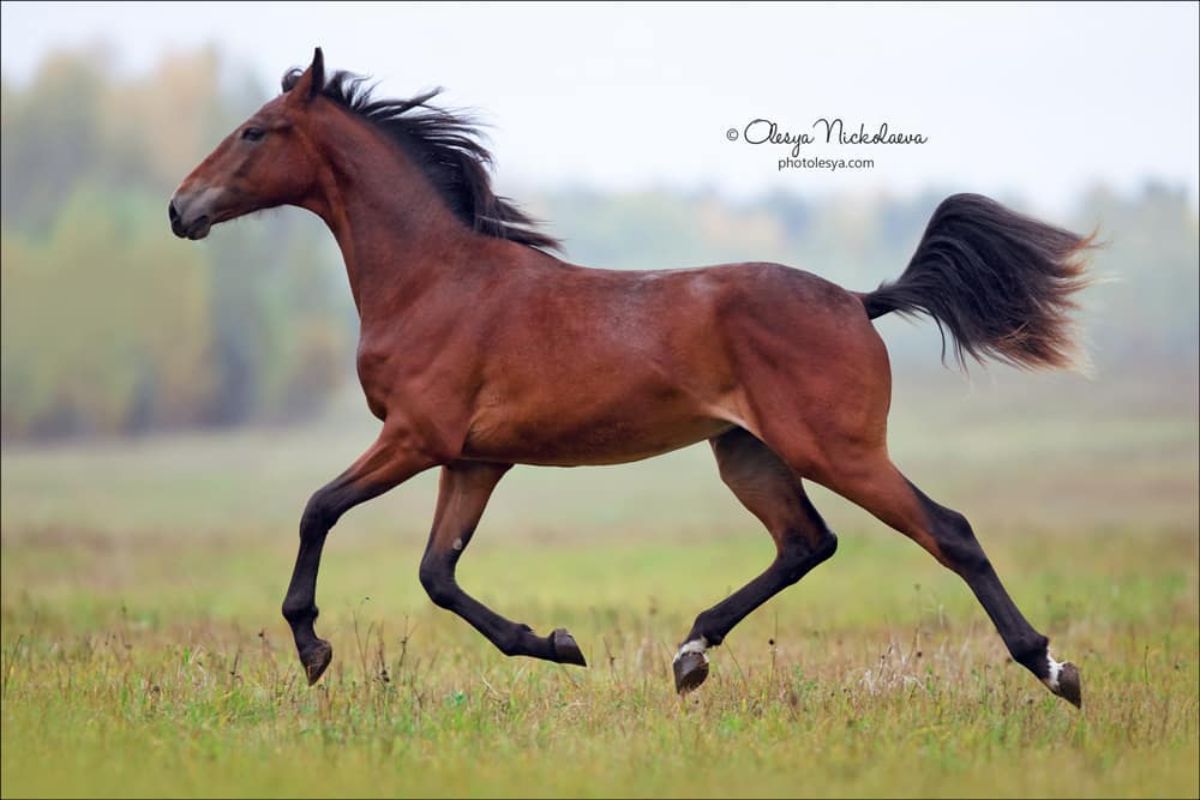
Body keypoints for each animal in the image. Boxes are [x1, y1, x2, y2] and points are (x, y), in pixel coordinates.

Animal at [171, 50, 1099, 705]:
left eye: (256, 130)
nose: (181, 209)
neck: (434, 279)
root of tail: (859, 301)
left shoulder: (415, 437)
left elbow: (319, 509)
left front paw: (312, 649)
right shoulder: (474, 458)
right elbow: (439, 575)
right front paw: (556, 644)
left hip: (837, 450)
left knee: (949, 531)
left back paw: (1055, 670)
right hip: (748, 453)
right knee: (807, 542)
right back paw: (690, 655)